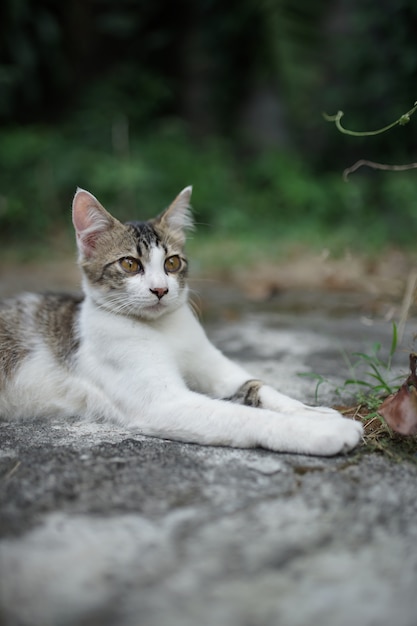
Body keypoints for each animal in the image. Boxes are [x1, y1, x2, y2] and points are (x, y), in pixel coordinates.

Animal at [0, 185, 360, 454]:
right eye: (129, 264)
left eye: (172, 263)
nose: (160, 289)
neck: (163, 330)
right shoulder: (163, 403)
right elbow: (240, 415)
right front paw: (325, 431)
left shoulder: (216, 368)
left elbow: (257, 386)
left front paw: (315, 413)